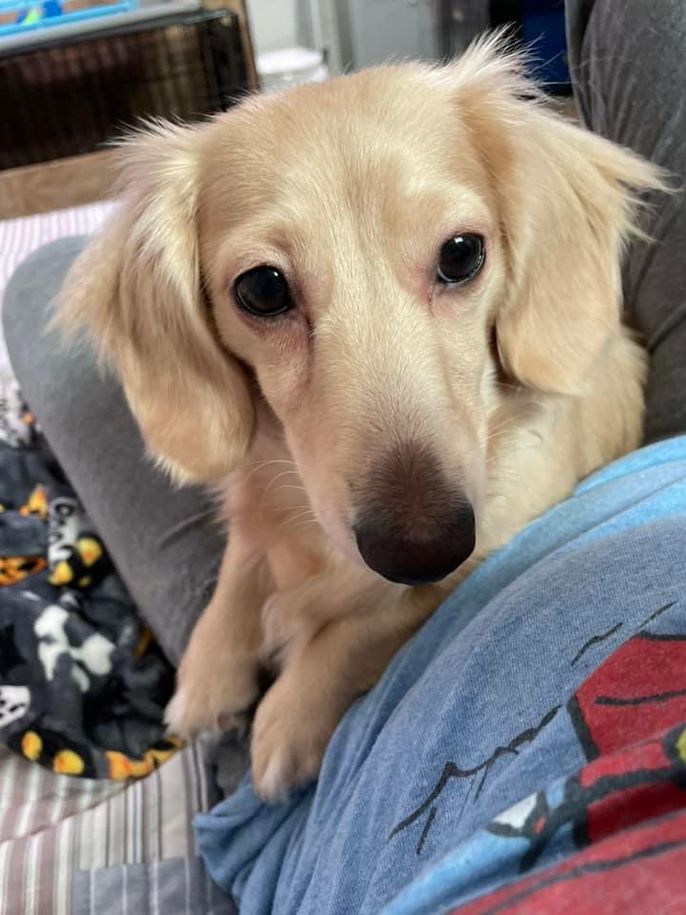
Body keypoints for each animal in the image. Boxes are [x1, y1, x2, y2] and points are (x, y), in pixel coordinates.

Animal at [57, 34, 664, 802]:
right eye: (262, 289)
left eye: (462, 253)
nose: (422, 545)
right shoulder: (262, 504)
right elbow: (241, 567)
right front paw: (208, 671)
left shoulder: (498, 531)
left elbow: (364, 623)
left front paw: (287, 717)